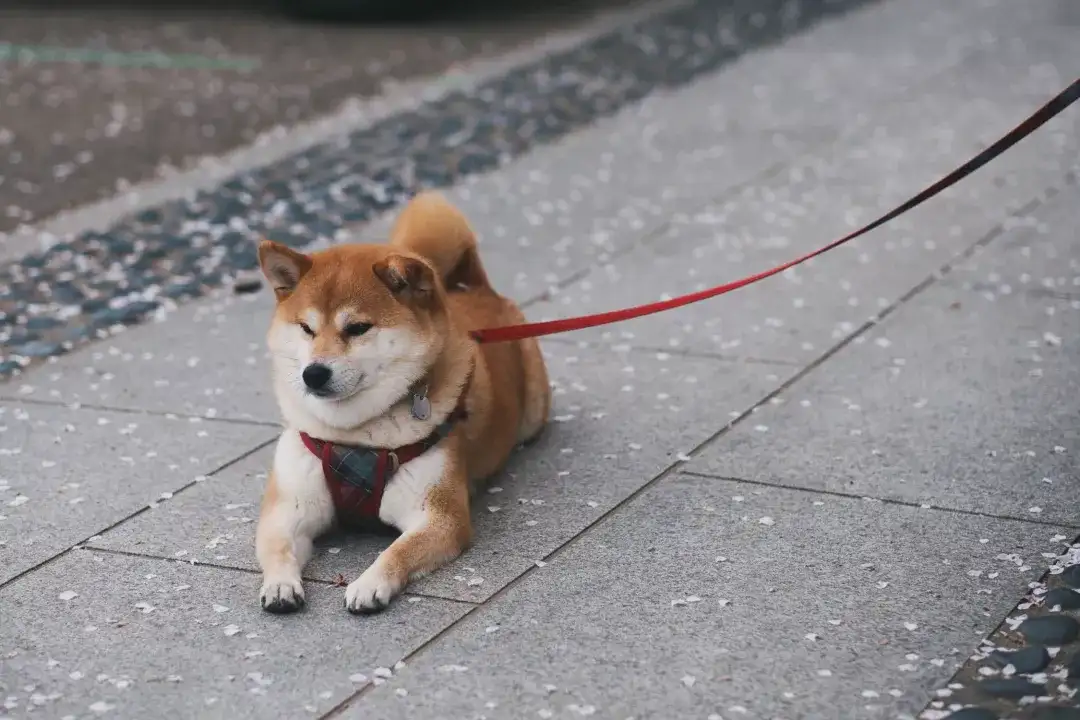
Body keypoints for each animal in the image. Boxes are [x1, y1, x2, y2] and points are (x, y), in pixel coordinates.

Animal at [254, 191, 548, 613]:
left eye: (358, 328)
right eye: (306, 328)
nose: (314, 373)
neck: (353, 437)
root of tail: (476, 289)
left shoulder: (439, 516)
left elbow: (398, 550)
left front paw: (369, 583)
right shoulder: (288, 508)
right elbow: (277, 548)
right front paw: (280, 584)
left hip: (534, 408)